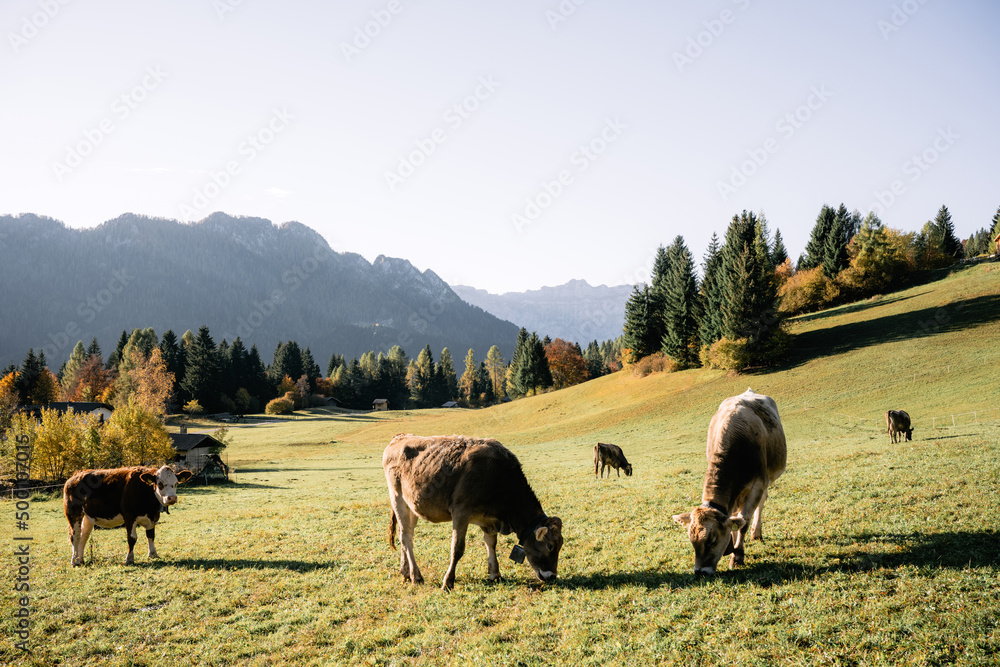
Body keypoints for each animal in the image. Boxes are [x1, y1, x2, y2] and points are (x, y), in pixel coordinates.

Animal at [65, 468, 195, 568]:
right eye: (160, 484)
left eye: (176, 483)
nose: (172, 498)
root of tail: (75, 475)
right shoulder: (129, 517)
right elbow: (132, 539)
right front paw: (129, 559)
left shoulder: (152, 518)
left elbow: (151, 535)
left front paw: (153, 554)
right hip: (73, 514)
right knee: (75, 537)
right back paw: (74, 561)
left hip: (88, 517)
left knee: (83, 536)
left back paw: (80, 559)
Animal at [382, 436, 564, 592]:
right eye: (550, 546)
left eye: (560, 545)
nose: (552, 577)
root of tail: (400, 437)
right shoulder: (461, 511)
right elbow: (457, 549)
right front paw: (448, 582)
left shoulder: (488, 519)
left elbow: (491, 543)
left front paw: (495, 574)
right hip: (397, 497)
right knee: (405, 536)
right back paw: (416, 576)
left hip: (411, 505)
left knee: (406, 534)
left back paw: (405, 572)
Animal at [676, 388, 784, 576]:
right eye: (692, 540)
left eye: (712, 540)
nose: (700, 571)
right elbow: (733, 518)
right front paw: (732, 545)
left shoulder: (758, 483)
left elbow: (743, 522)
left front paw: (738, 555)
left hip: (766, 479)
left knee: (760, 504)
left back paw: (756, 532)